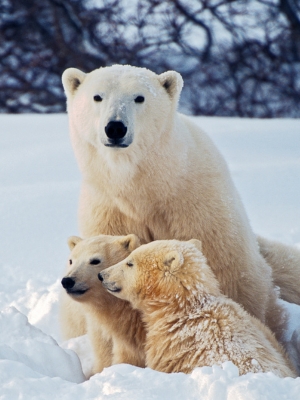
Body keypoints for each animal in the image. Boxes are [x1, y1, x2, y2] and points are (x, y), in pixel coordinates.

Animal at [62, 64, 298, 342]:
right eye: (97, 97)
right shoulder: (108, 211)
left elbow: (228, 272)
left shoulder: (195, 205)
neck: (144, 187)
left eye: (139, 97)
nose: (116, 128)